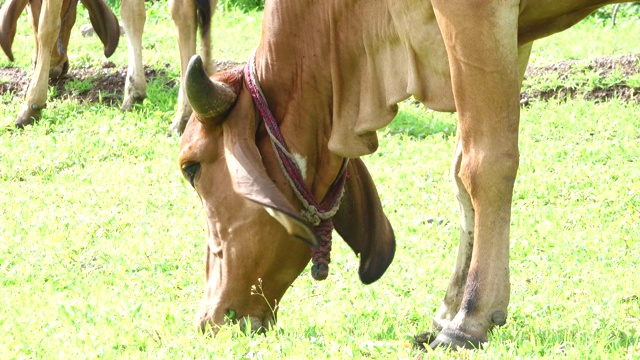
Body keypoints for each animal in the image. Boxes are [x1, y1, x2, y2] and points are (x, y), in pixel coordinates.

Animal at [0, 0, 218, 134]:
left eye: (28, 10)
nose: (57, 67)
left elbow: (48, 25)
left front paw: (32, 104)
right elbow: (132, 14)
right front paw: (134, 92)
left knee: (183, 14)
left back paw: (183, 114)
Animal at [178, 0, 636, 352]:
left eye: (191, 167)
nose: (208, 320)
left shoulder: (476, 15)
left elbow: (486, 162)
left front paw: (469, 318)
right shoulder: (515, 34)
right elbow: (460, 174)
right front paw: (448, 309)